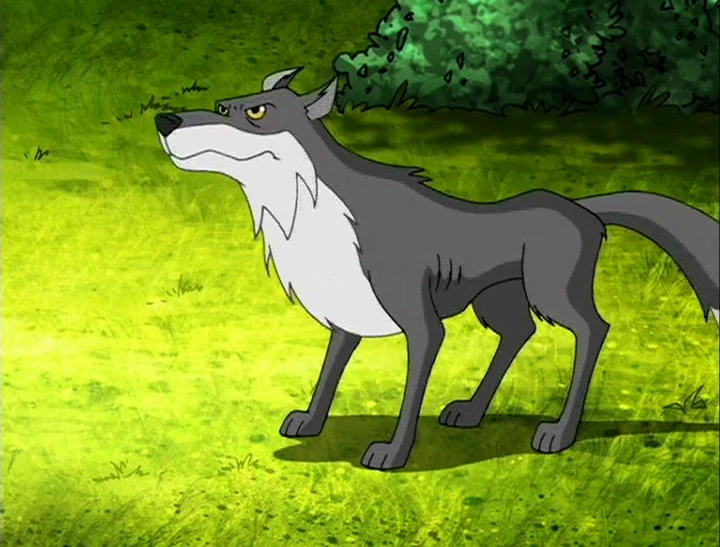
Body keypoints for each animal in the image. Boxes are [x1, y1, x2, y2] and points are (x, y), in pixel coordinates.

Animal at [155, 67, 720, 471]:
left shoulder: (423, 325)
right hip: (496, 302)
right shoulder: (348, 317)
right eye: (224, 105)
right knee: (520, 334)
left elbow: (409, 394)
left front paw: (392, 455)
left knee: (593, 330)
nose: (165, 122)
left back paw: (559, 434)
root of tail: (583, 209)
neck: (315, 212)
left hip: (551, 293)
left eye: (255, 111)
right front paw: (311, 422)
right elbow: (327, 376)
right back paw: (470, 412)